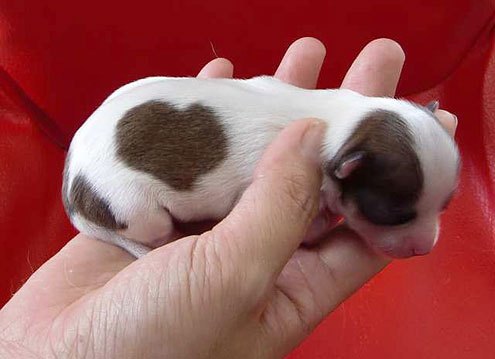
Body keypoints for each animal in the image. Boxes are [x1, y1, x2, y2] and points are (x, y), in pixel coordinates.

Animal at [62, 77, 462, 260]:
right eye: (395, 216)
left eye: (445, 208)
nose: (426, 249)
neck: (344, 125)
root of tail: (72, 197)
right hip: (134, 206)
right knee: (153, 228)